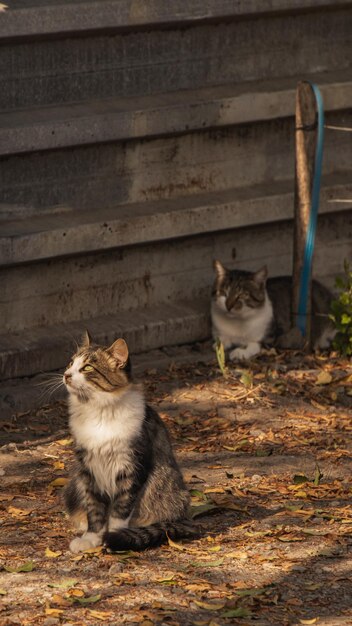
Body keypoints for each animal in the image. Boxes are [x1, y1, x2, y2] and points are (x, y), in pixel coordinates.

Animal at [63, 332, 195, 552]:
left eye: (87, 368)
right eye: (71, 363)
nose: (66, 375)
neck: (99, 412)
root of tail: (186, 517)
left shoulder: (132, 467)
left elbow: (120, 509)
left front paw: (115, 536)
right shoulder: (88, 470)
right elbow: (95, 510)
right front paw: (91, 538)